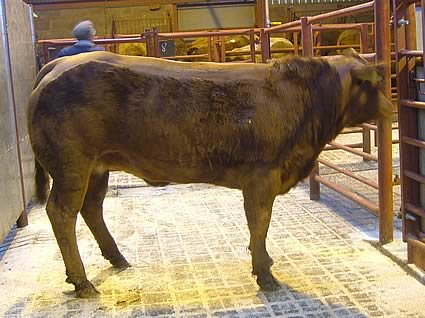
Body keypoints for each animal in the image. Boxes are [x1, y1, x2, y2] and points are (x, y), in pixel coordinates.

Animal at [27, 49, 390, 298]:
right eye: (373, 84)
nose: (391, 108)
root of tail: (59, 64)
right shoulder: (262, 176)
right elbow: (259, 223)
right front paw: (265, 274)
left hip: (97, 168)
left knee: (91, 208)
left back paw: (117, 258)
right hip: (72, 167)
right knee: (62, 213)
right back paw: (82, 282)